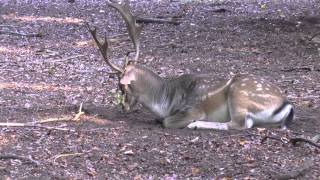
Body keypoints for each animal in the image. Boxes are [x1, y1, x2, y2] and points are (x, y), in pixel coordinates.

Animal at [87, 2, 292, 130]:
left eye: (121, 85)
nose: (124, 107)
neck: (164, 102)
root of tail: (286, 104)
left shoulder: (192, 108)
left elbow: (167, 122)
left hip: (238, 95)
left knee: (239, 125)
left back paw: (195, 125)